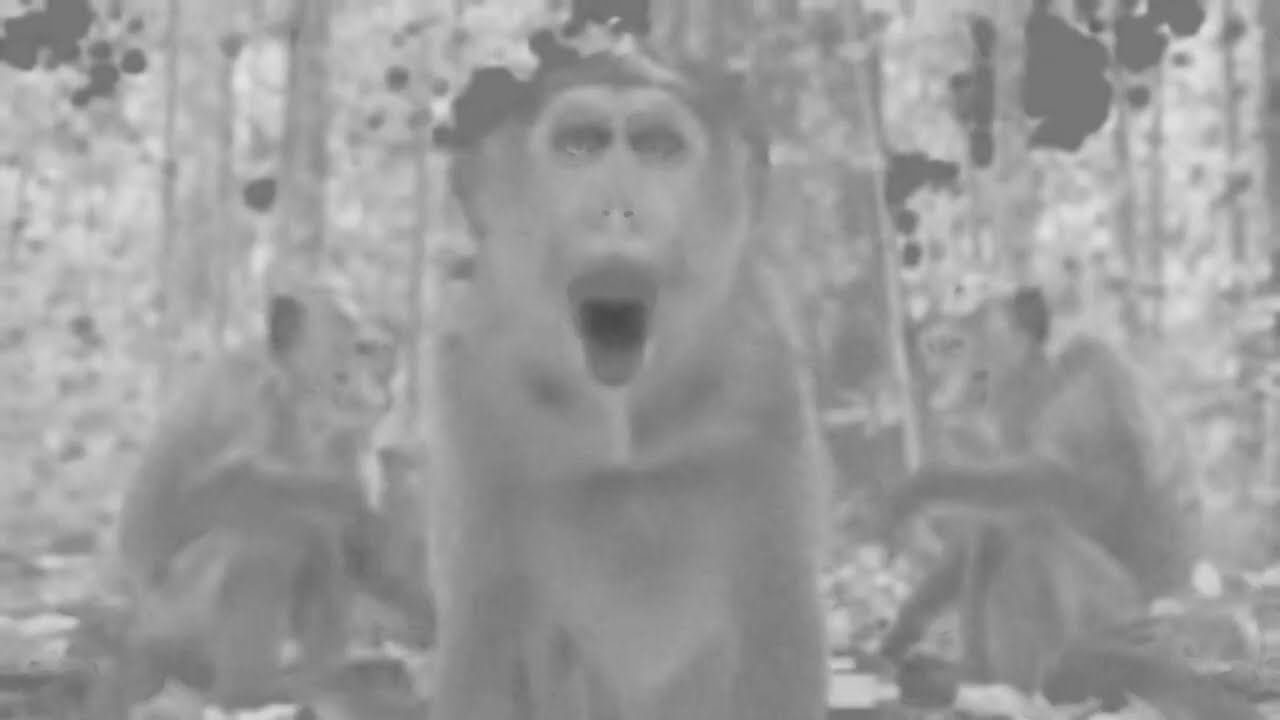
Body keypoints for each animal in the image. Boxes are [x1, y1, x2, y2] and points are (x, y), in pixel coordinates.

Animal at [426, 31, 830, 720]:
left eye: (657, 147)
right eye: (581, 144)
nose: (618, 211)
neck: (622, 423)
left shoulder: (763, 383)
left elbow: (777, 638)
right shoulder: (478, 388)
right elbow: (485, 648)